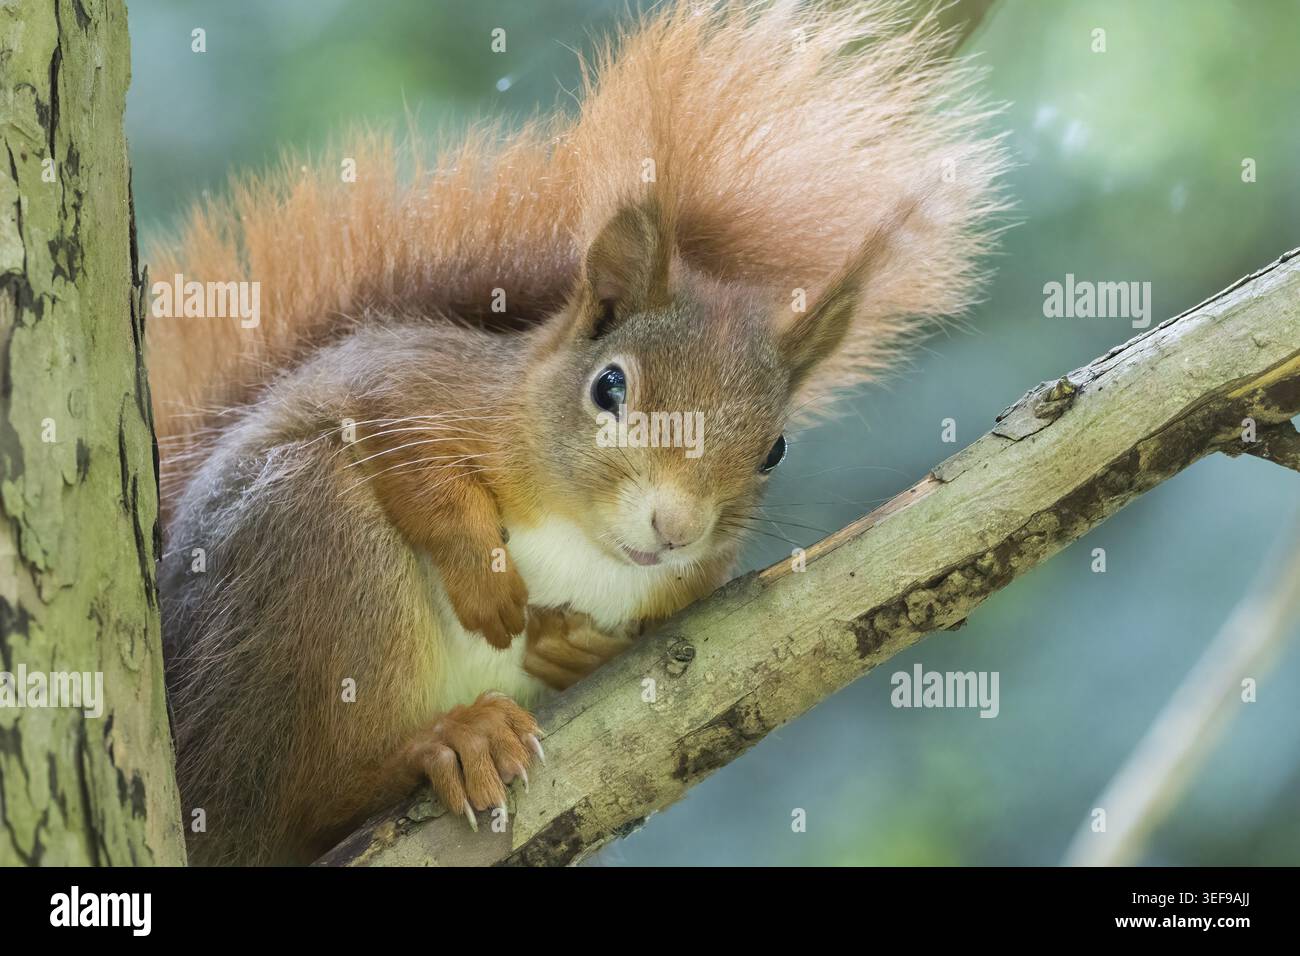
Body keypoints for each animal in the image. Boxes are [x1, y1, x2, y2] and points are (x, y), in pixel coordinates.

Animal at [149, 0, 1006, 865]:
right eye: (609, 387)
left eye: (776, 449)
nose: (676, 528)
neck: (579, 535)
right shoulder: (406, 383)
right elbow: (396, 443)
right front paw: (484, 570)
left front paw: (578, 646)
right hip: (307, 546)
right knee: (294, 802)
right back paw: (444, 743)